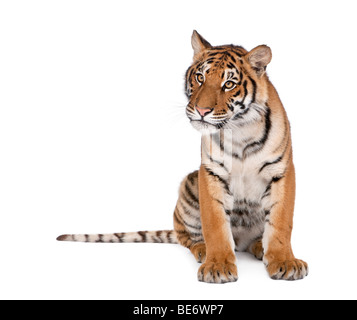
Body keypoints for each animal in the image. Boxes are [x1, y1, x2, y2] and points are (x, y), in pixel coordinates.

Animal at [57, 30, 308, 282]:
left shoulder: (282, 171)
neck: (240, 130)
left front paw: (284, 261)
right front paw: (217, 265)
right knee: (186, 236)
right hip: (189, 185)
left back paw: (259, 247)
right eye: (200, 77)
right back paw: (204, 250)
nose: (202, 111)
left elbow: (281, 223)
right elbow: (215, 225)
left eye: (229, 84)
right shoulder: (211, 172)